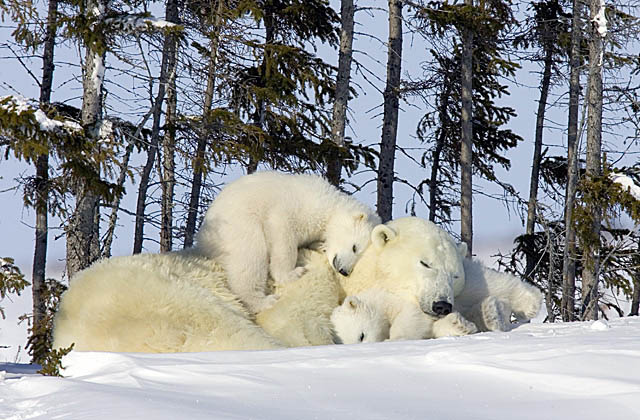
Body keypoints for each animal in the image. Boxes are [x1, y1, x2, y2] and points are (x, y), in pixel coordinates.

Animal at [198, 172, 382, 314]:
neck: (329, 203)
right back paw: (264, 301)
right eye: (355, 247)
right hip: (238, 226)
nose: (344, 271)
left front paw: (321, 246)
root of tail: (202, 239)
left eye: (359, 257)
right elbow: (283, 233)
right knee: (249, 258)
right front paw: (293, 273)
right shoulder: (296, 208)